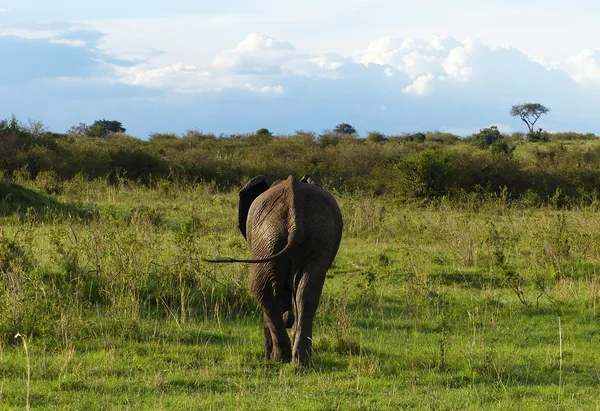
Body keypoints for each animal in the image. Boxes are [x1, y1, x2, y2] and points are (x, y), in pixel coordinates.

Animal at [205, 175, 342, 366]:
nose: (288, 317)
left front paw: (268, 354)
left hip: (268, 238)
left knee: (261, 289)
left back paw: (280, 357)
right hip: (315, 236)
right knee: (307, 292)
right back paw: (300, 360)